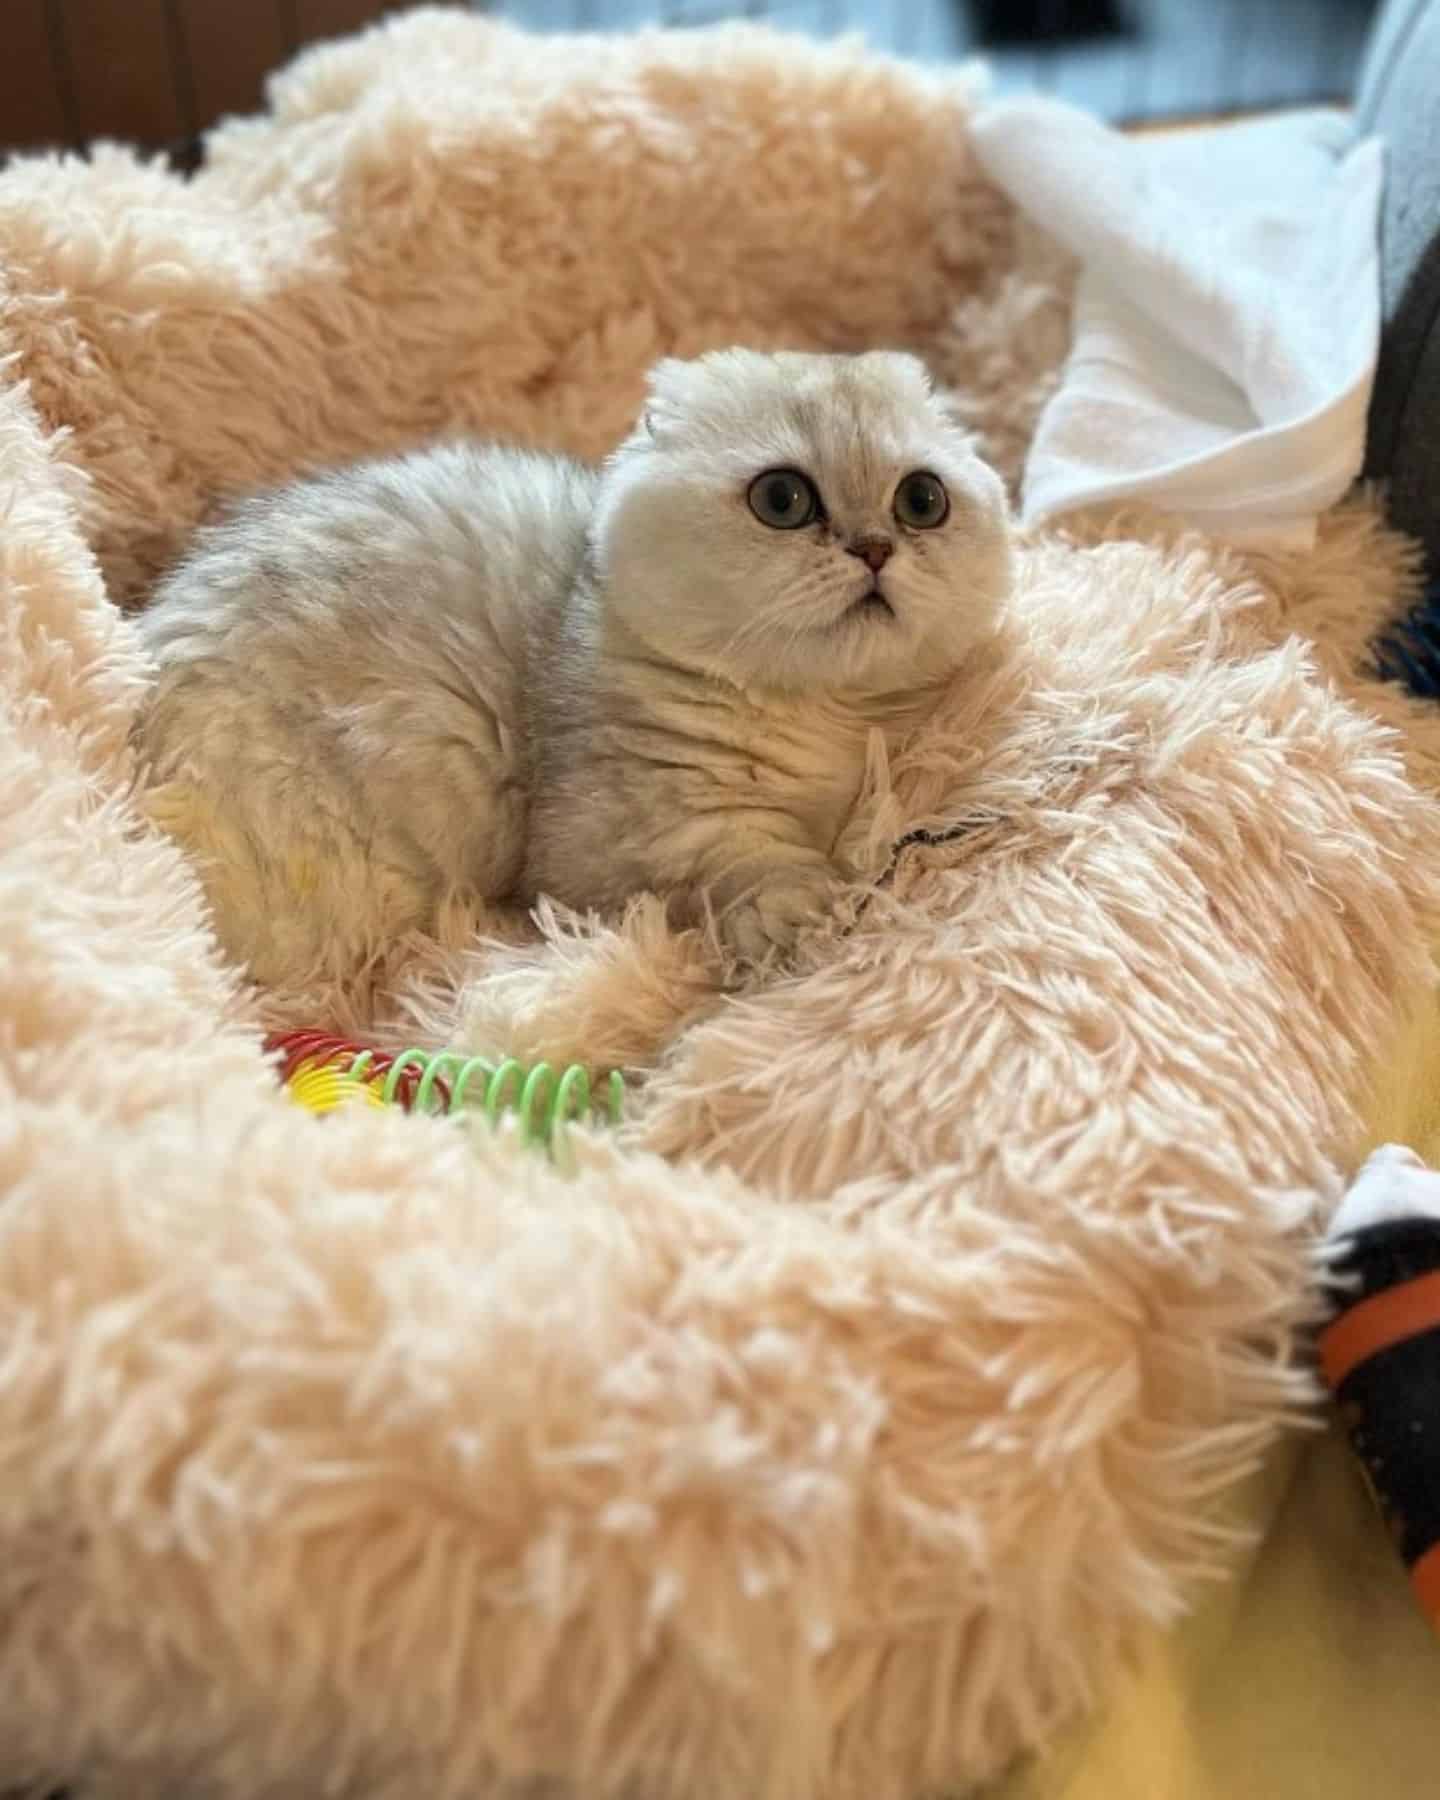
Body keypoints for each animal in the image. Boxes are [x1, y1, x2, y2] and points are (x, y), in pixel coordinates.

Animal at [132, 343, 1015, 993]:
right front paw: (809, 914)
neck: (823, 716)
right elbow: (747, 862)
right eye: (783, 500)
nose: (874, 549)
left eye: (922, 501)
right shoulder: (610, 847)